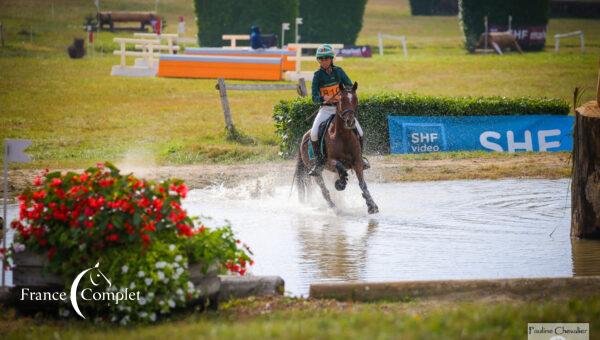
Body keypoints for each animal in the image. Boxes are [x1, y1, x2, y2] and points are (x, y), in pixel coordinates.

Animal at [292, 81, 378, 215]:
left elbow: (362, 183)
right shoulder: (329, 161)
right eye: (341, 100)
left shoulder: (357, 162)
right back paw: (334, 207)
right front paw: (341, 184)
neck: (343, 136)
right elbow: (339, 165)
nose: (350, 122)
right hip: (316, 170)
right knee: (324, 189)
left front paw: (372, 205)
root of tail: (304, 136)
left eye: (355, 100)